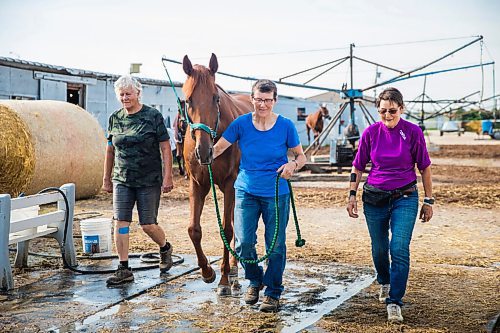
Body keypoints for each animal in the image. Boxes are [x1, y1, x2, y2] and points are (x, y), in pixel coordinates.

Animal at [181, 53, 254, 294]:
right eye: (188, 100)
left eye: (215, 98)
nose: (204, 151)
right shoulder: (197, 184)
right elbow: (194, 229)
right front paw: (207, 272)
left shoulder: (231, 184)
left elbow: (227, 230)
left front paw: (222, 280)